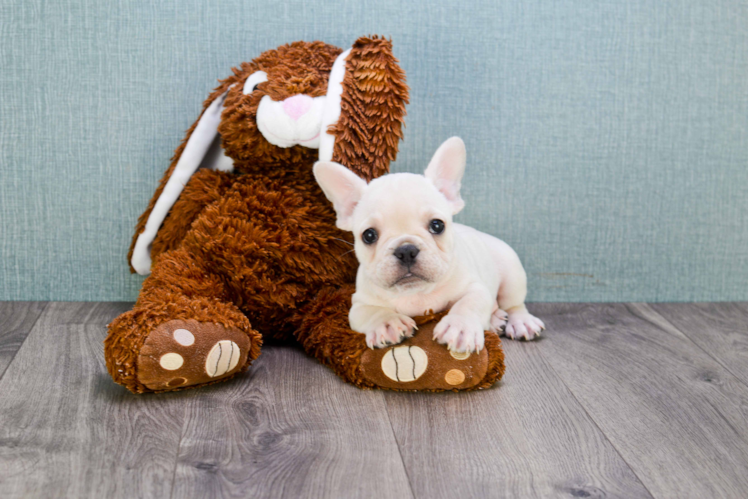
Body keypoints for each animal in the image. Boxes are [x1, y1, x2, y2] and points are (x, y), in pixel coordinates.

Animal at [312, 137, 548, 352]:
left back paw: (521, 322)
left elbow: (469, 303)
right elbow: (371, 312)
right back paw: (497, 318)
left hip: (512, 274)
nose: (406, 250)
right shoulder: (359, 303)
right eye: (369, 235)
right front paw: (387, 324)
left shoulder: (475, 288)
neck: (417, 294)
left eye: (437, 225)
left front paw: (460, 327)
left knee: (514, 304)